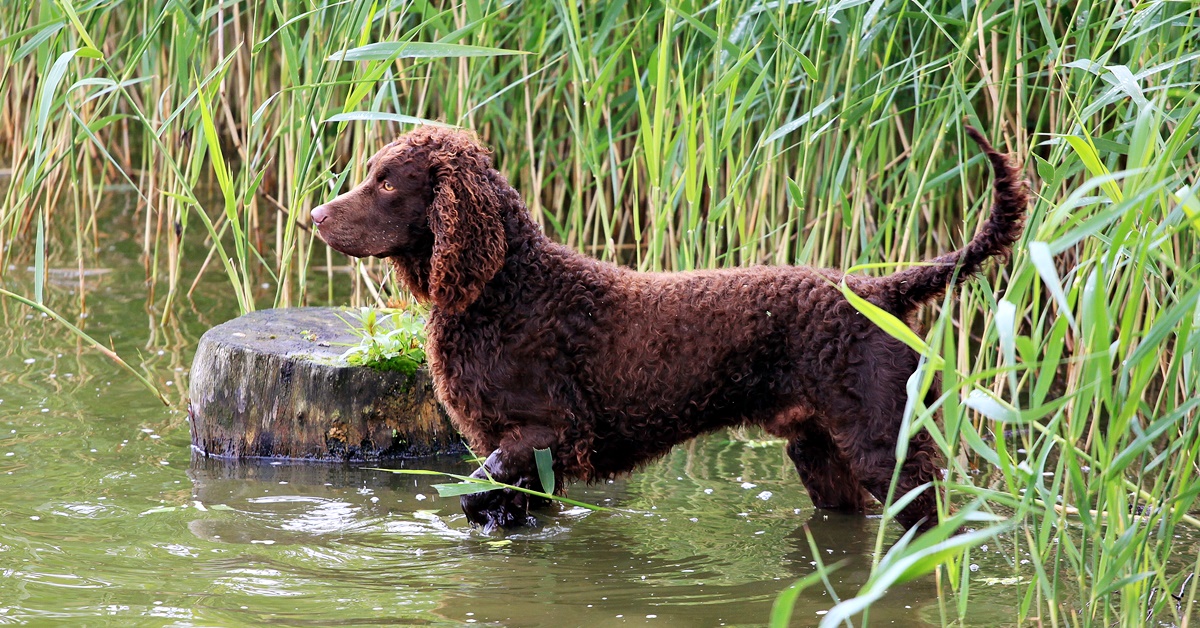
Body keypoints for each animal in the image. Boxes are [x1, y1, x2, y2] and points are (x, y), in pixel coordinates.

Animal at [314, 125, 1027, 533]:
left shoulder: (549, 431)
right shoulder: (526, 453)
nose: (315, 216)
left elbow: (476, 491)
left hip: (885, 446)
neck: (506, 288)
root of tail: (879, 290)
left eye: (386, 184)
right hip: (821, 453)